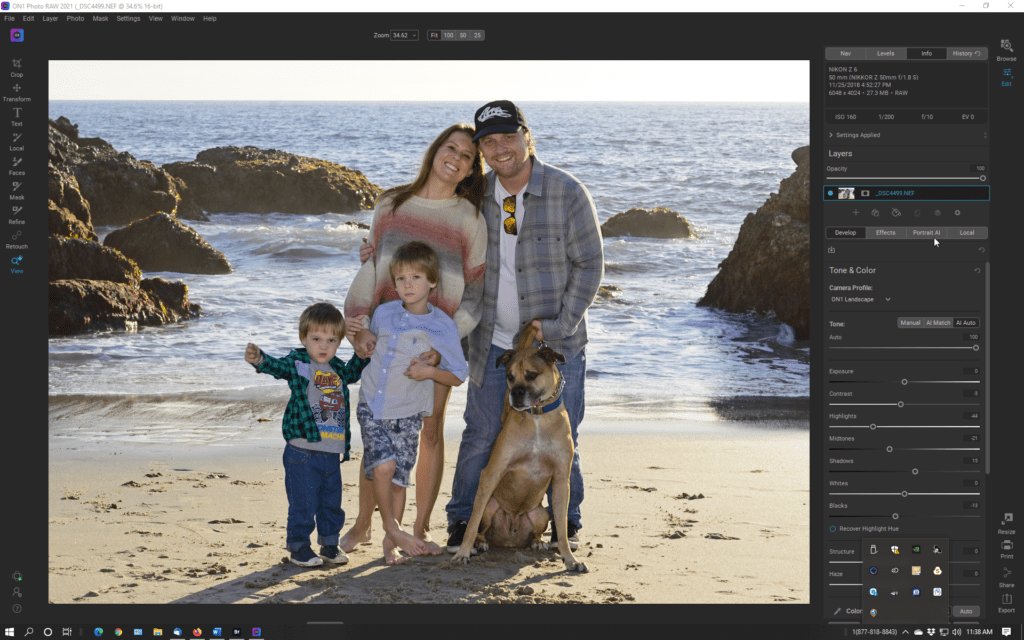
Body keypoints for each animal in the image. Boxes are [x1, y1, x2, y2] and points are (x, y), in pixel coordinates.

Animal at [452, 321, 589, 573]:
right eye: (509, 376)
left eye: (532, 375)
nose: (515, 394)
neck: (537, 417)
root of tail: (511, 536)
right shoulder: (492, 472)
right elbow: (472, 521)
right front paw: (463, 552)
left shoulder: (561, 480)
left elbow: (562, 527)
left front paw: (570, 560)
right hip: (490, 505)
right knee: (481, 527)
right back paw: (481, 543)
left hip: (541, 513)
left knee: (537, 529)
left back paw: (537, 542)